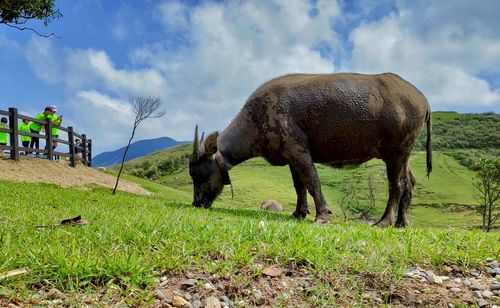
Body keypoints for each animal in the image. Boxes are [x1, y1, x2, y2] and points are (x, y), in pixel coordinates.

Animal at [189, 72, 432, 226]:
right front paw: (299, 213)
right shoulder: (290, 157)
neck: (257, 117)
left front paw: (322, 215)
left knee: (397, 185)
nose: (196, 203)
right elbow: (300, 186)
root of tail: (421, 98)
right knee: (410, 182)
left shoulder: (298, 150)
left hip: (396, 153)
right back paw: (402, 222)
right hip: (402, 155)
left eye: (199, 174)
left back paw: (385, 221)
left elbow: (312, 181)